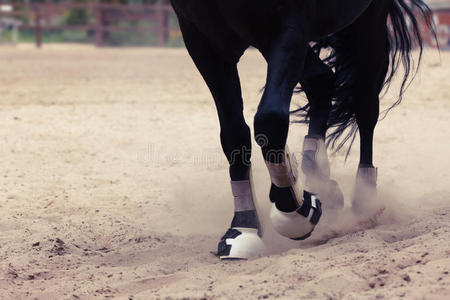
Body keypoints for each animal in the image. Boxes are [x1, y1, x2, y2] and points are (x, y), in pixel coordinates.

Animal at [170, 0, 436, 258]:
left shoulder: (288, 27)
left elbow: (270, 119)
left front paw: (297, 212)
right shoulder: (203, 38)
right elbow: (234, 132)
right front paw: (243, 228)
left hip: (369, 20)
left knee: (365, 102)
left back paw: (364, 196)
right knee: (322, 81)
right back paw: (319, 173)